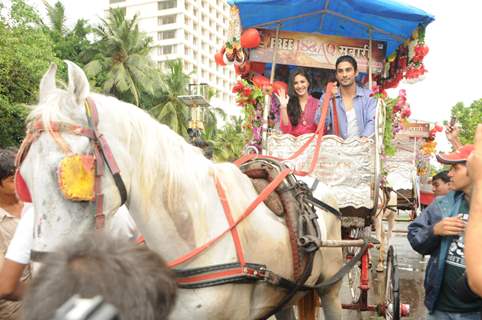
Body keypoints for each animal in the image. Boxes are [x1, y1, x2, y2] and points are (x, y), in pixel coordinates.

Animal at [17, 61, 342, 318]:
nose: (47, 283)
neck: (197, 228)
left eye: (72, 174)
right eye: (25, 179)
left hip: (332, 285)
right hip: (286, 292)